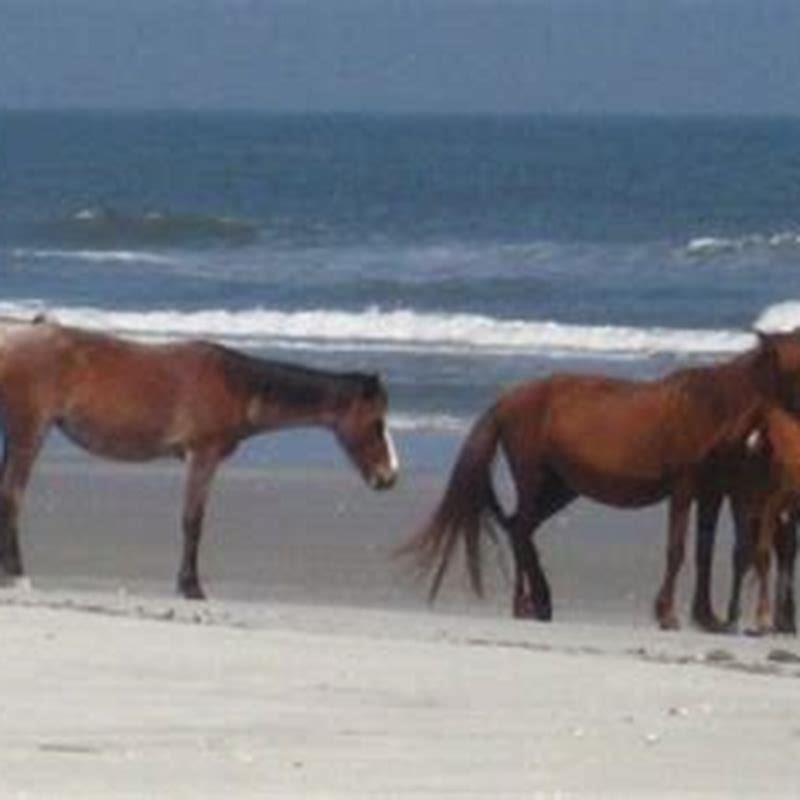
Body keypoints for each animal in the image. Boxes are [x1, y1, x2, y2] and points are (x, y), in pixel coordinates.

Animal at [0, 318, 398, 600]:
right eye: (376, 423)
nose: (389, 476)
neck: (237, 386)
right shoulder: (202, 456)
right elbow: (193, 521)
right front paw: (191, 586)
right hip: (29, 433)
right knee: (13, 497)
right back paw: (17, 575)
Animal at [400, 332, 800, 632]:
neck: (715, 408)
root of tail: (508, 399)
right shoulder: (684, 490)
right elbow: (677, 549)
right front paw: (667, 614)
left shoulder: (712, 493)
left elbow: (703, 551)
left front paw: (707, 617)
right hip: (534, 478)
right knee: (521, 529)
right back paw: (535, 603)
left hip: (561, 488)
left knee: (519, 529)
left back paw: (530, 603)